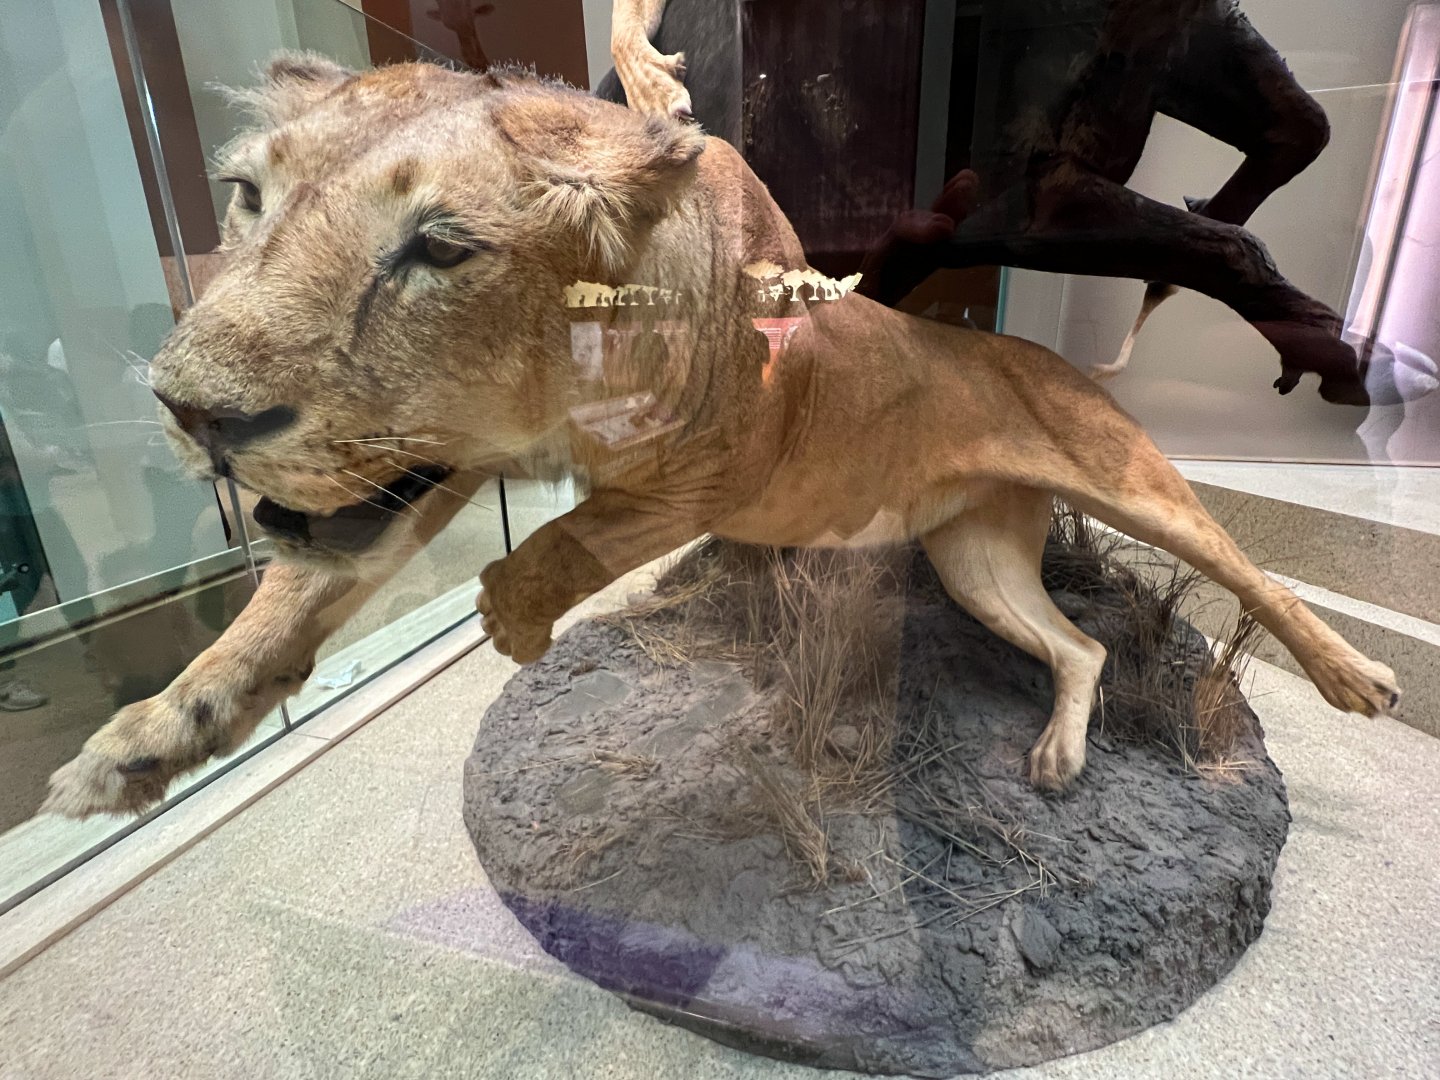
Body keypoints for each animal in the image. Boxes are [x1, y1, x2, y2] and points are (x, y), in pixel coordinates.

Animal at [42, 56, 1398, 819]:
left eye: (439, 245)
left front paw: (516, 622)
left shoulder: (728, 456)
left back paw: (1357, 677)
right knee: (1080, 644)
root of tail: (1039, 353)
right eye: (246, 197)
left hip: (1134, 484)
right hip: (975, 559)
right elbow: (294, 591)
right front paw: (151, 739)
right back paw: (1060, 755)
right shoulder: (422, 466)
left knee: (1255, 574)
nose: (194, 412)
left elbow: (571, 538)